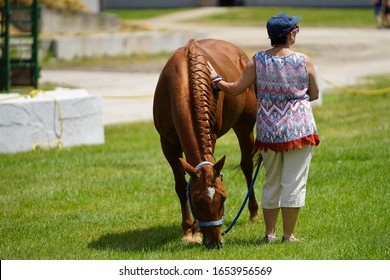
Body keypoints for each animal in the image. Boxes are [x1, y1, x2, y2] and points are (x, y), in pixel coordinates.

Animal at [152, 38, 258, 247]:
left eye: (224, 198)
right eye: (196, 201)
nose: (215, 241)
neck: (184, 82)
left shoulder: (213, 135)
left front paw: (195, 231)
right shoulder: (167, 144)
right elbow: (180, 186)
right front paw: (188, 230)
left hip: (245, 126)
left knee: (247, 166)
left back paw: (254, 213)